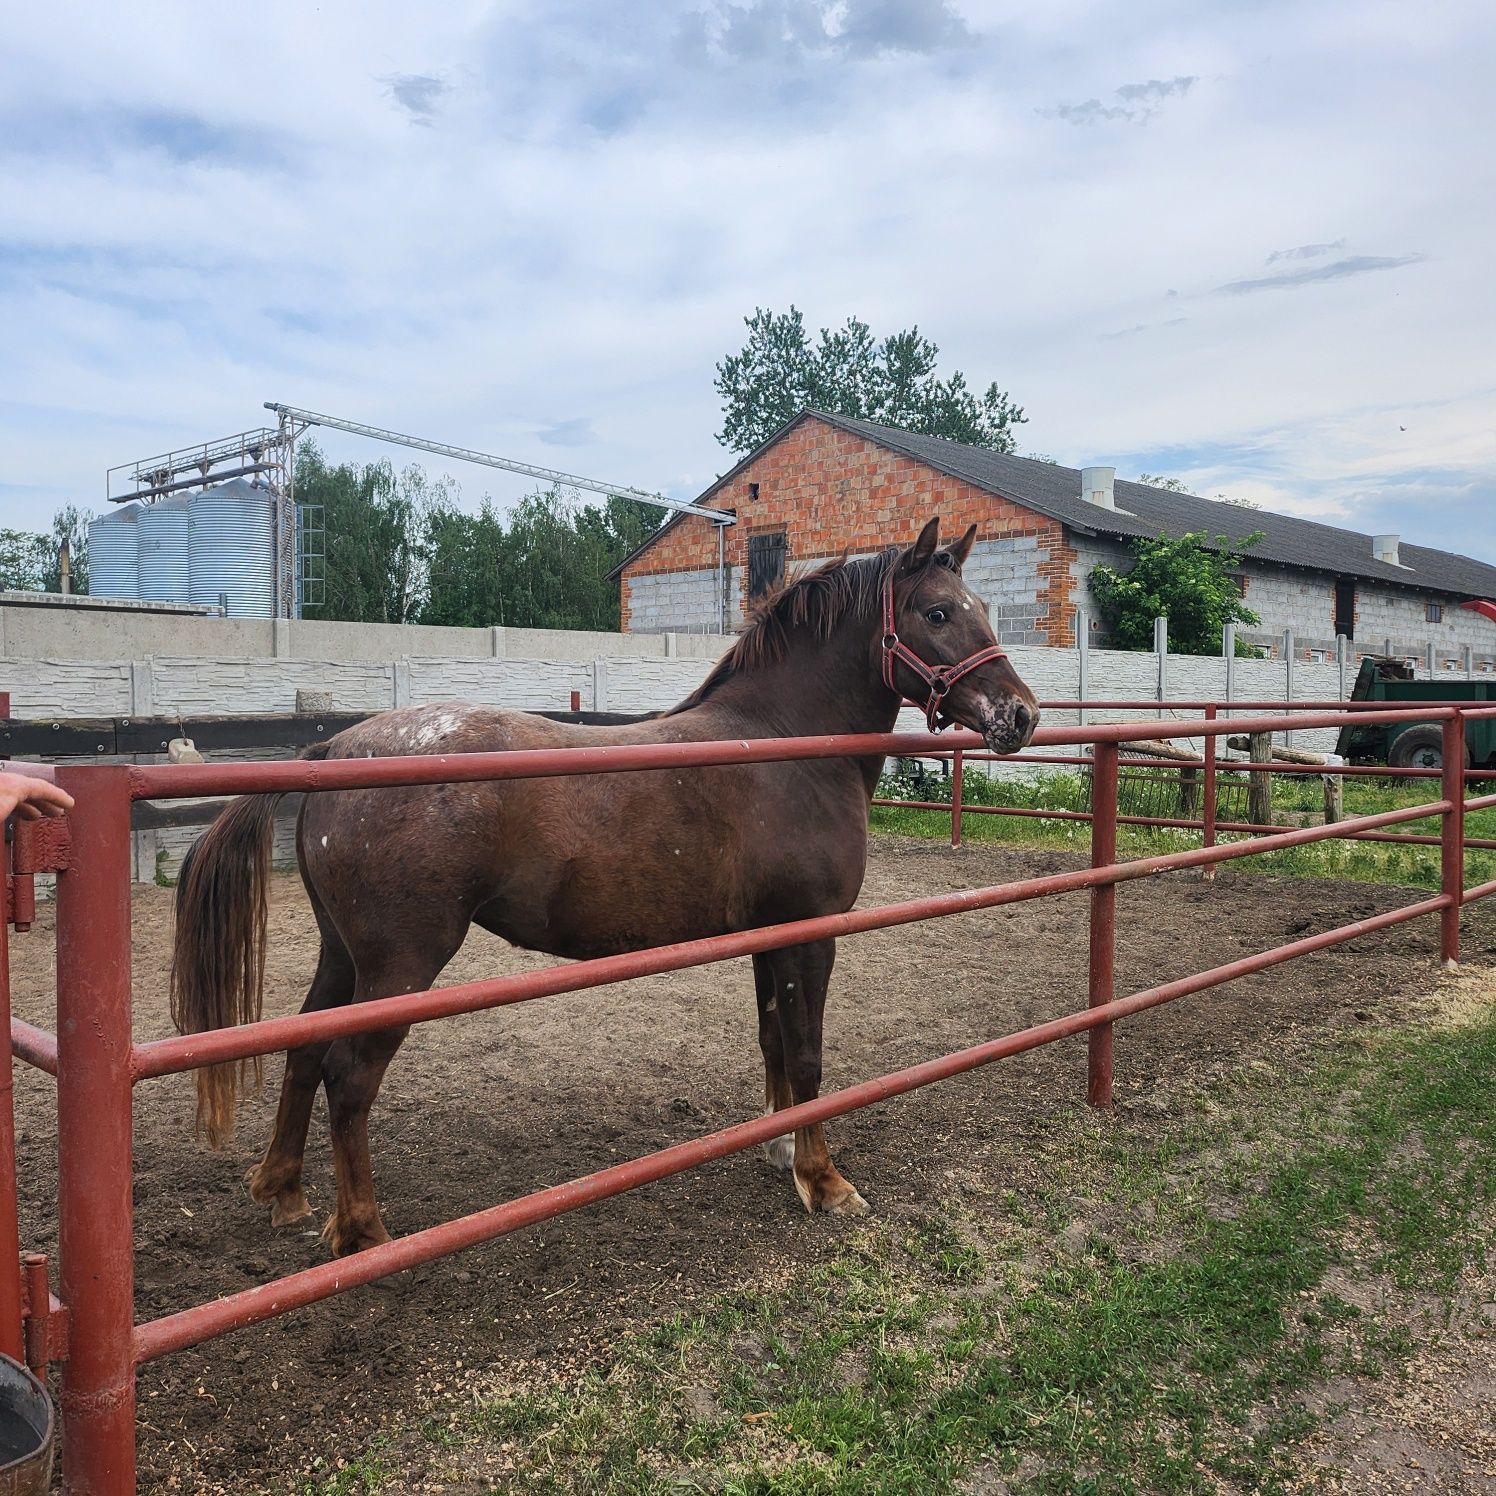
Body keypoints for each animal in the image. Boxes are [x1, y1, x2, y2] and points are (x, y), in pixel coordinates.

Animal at [169, 520, 1035, 1256]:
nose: (1020, 715)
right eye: (937, 612)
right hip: (400, 967)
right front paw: (823, 1181)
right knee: (349, 1078)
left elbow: (775, 1047)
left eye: (979, 609)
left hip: (342, 956)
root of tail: (335, 750)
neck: (783, 743)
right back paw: (364, 1233)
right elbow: (811, 1057)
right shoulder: (810, 932)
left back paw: (283, 1190)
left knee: (303, 1050)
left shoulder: (770, 937)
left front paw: (781, 1148)